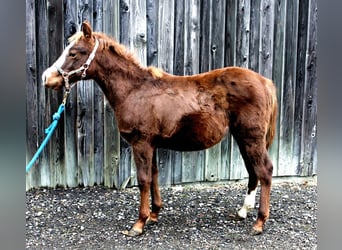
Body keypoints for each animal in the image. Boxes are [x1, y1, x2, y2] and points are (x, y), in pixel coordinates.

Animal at [42, 21, 278, 236]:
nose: (47, 78)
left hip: (251, 137)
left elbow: (144, 179)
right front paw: (154, 214)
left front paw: (139, 224)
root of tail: (265, 82)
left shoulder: (141, 143)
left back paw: (259, 222)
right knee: (252, 170)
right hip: (243, 137)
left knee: (265, 170)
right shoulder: (151, 144)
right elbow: (154, 175)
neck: (134, 90)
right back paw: (242, 211)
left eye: (74, 52)